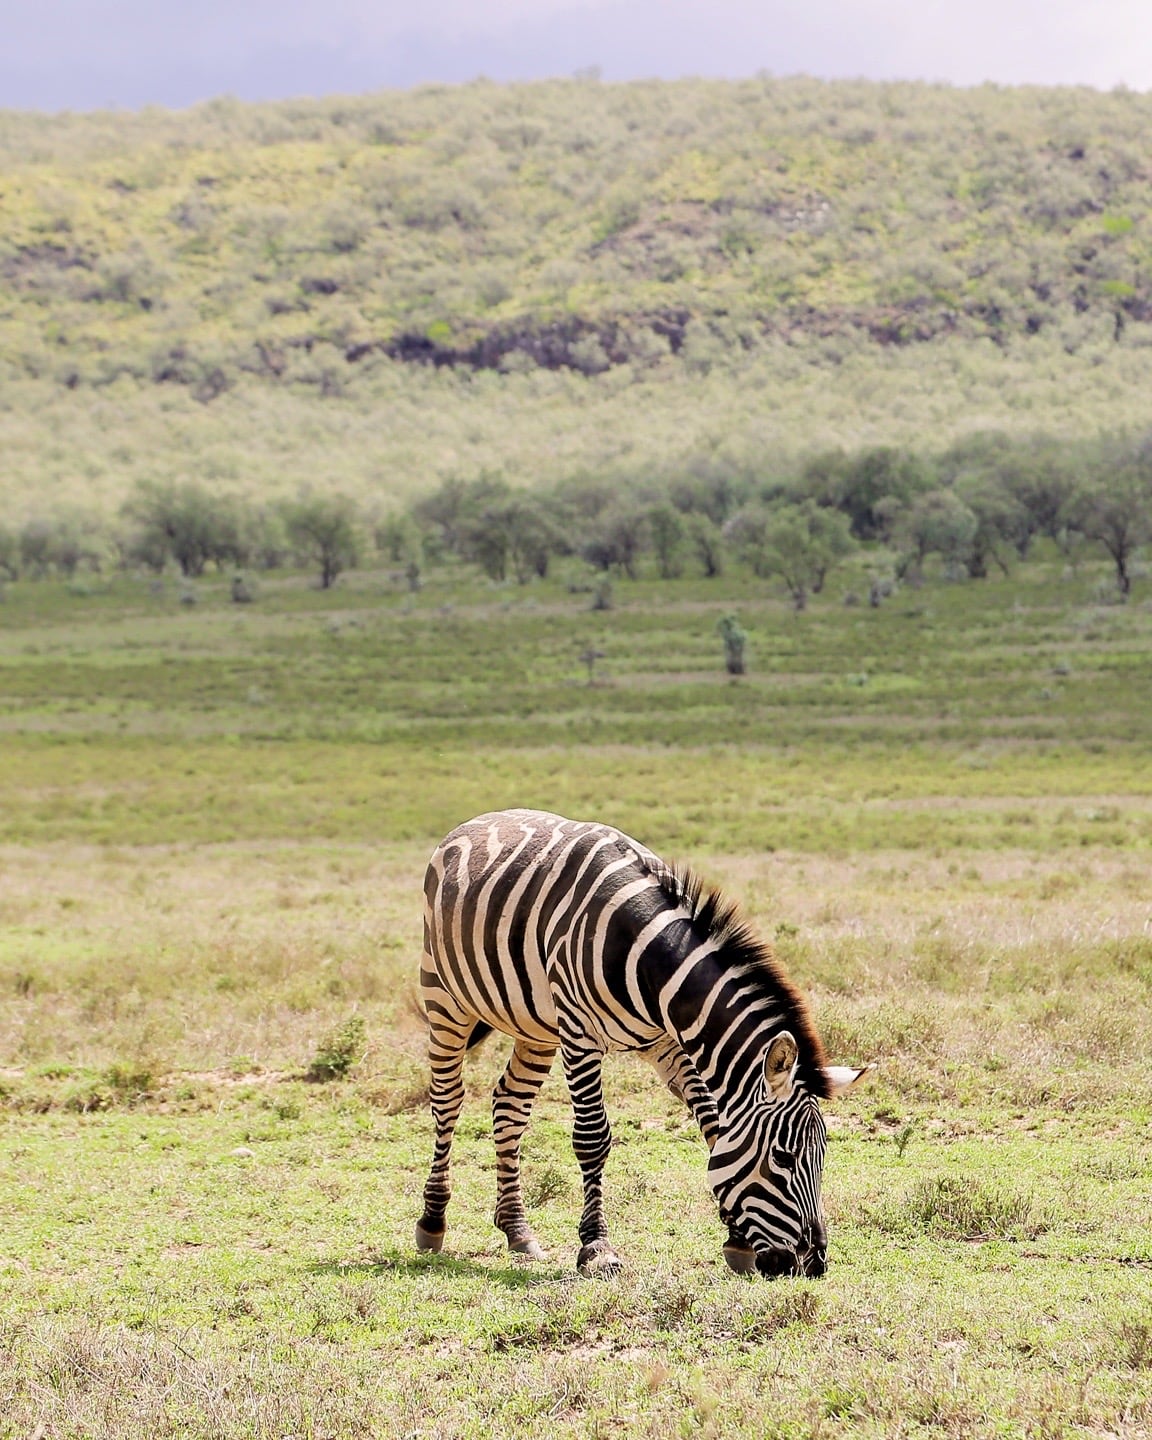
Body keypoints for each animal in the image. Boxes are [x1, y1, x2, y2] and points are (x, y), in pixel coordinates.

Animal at [417, 812, 864, 1284]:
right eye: (784, 1156)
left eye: (823, 1155)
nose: (813, 1264)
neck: (646, 955)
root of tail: (476, 820)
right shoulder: (579, 1033)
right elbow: (592, 1138)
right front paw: (597, 1248)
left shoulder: (669, 1042)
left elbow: (713, 1128)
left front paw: (736, 1241)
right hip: (443, 995)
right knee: (447, 1100)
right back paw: (433, 1221)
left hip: (535, 1025)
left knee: (510, 1105)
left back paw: (517, 1229)